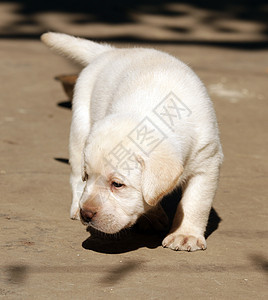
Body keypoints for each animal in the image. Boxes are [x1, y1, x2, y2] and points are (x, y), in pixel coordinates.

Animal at [41, 33, 222, 251]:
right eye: (89, 176)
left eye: (117, 184)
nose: (86, 214)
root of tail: (112, 51)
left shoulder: (207, 159)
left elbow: (195, 202)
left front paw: (185, 235)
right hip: (79, 127)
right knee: (75, 174)